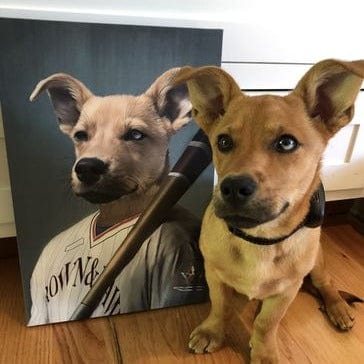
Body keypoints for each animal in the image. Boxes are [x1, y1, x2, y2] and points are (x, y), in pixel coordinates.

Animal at [175, 59, 362, 362]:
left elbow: (266, 323)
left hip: (317, 261)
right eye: (223, 142)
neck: (259, 239)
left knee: (325, 283)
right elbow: (220, 306)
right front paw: (212, 331)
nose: (233, 187)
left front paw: (263, 351)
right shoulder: (214, 274)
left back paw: (338, 308)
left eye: (286, 142)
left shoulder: (287, 291)